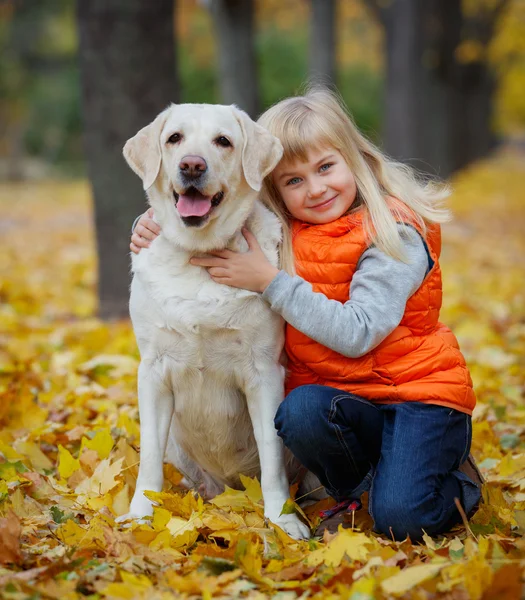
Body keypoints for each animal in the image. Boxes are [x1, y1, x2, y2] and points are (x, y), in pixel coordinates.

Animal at [117, 103, 308, 540]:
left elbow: (272, 458)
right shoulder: (152, 371)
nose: (191, 165)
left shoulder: (263, 373)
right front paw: (141, 516)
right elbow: (148, 458)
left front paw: (282, 520)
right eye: (174, 138)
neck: (198, 256)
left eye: (223, 141)